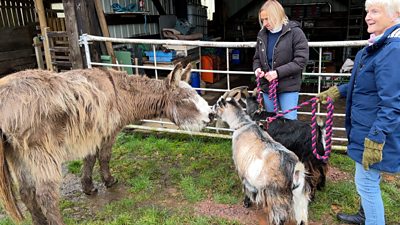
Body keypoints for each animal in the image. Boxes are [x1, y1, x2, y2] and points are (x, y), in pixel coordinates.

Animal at [0, 63, 212, 225]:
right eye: (184, 100)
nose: (209, 117)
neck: (120, 93)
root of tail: (4, 99)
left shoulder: (92, 134)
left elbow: (89, 159)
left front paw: (88, 187)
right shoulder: (107, 132)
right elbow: (103, 156)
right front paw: (108, 181)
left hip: (18, 155)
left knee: (26, 193)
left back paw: (39, 221)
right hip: (42, 153)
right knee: (46, 196)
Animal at [212, 90, 310, 225]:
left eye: (217, 104)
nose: (210, 110)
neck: (242, 125)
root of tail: (296, 170)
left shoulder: (242, 171)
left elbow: (246, 189)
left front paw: (246, 203)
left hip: (276, 196)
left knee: (280, 217)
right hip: (300, 197)